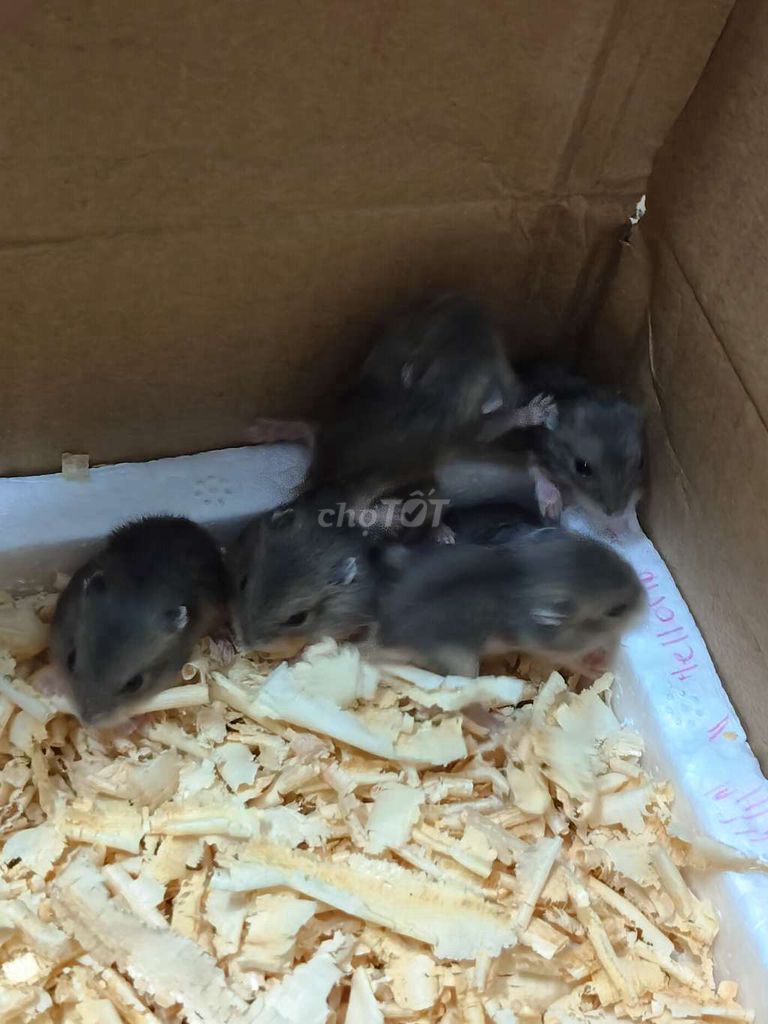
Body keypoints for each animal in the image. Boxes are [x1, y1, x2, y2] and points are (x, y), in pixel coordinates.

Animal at [49, 516, 229, 726]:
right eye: (70, 659)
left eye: (135, 684)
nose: (87, 721)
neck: (140, 590)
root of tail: (190, 524)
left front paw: (141, 723)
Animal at [375, 528, 646, 677]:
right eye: (616, 610)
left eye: (618, 558)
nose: (646, 603)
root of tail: (381, 639)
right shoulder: (552, 651)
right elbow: (576, 661)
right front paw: (599, 668)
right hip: (462, 662)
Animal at [512, 364, 644, 520]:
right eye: (582, 467)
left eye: (641, 463)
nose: (616, 515)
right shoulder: (534, 446)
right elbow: (535, 468)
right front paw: (554, 511)